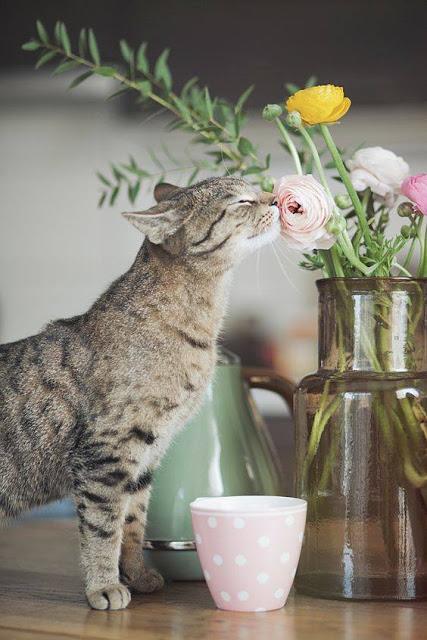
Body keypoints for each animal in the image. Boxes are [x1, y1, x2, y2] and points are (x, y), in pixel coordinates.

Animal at [0, 176, 280, 608]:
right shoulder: (107, 452)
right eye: (242, 200)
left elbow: (133, 522)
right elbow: (103, 527)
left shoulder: (147, 453)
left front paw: (136, 573)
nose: (279, 198)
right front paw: (103, 584)